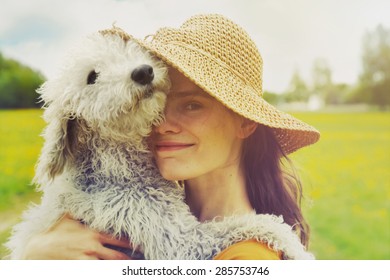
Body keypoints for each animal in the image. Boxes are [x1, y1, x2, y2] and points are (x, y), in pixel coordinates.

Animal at [5, 28, 314, 260]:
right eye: (92, 76)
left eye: (130, 49)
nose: (143, 72)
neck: (116, 171)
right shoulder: (174, 239)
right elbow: (250, 223)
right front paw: (294, 244)